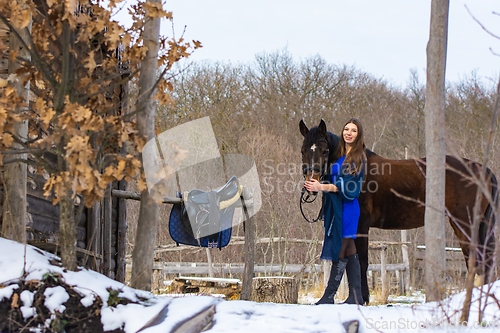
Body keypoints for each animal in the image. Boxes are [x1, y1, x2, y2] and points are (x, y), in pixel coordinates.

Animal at [298, 118, 498, 304]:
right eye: (303, 151)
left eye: (324, 151)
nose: (311, 183)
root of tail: (484, 170)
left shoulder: (361, 226)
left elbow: (362, 260)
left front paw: (363, 299)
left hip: (465, 224)